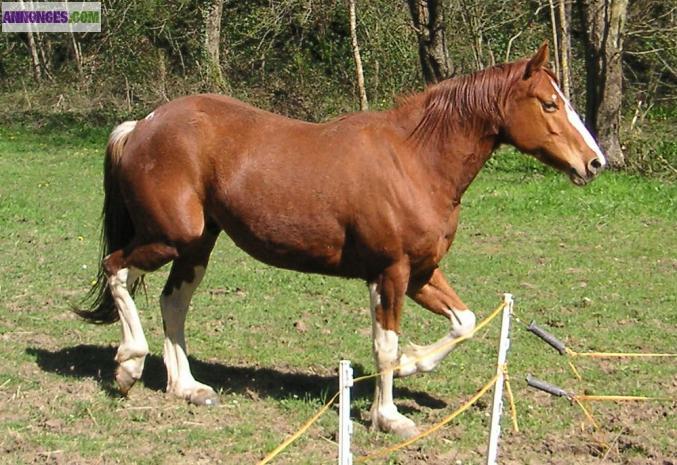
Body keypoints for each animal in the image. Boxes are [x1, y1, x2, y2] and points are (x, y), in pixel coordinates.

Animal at [79, 43, 605, 438]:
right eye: (550, 103)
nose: (595, 162)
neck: (415, 161)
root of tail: (142, 124)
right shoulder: (390, 273)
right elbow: (385, 345)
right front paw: (389, 417)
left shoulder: (421, 273)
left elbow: (465, 323)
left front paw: (413, 365)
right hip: (171, 236)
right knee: (117, 269)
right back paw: (128, 366)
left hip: (196, 244)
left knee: (173, 302)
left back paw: (187, 387)